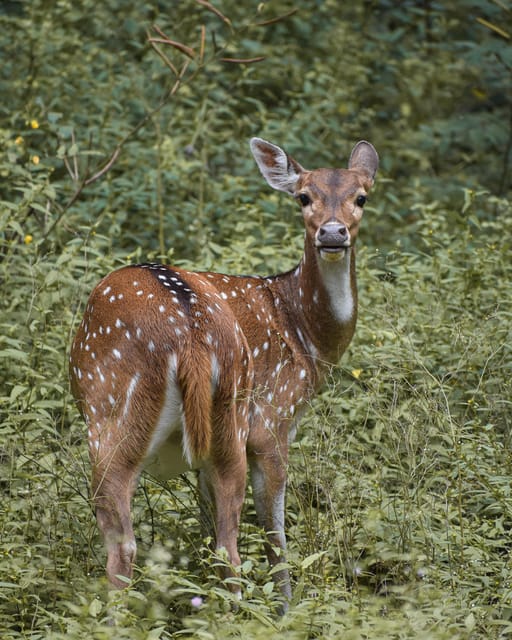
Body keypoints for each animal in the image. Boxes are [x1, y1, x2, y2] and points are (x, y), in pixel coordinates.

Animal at [69, 136, 376, 608]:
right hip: (182, 417)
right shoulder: (273, 418)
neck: (306, 336)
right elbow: (264, 529)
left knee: (154, 544)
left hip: (145, 416)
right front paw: (285, 608)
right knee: (193, 544)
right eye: (304, 197)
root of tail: (191, 333)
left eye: (360, 197)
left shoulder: (255, 427)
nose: (331, 233)